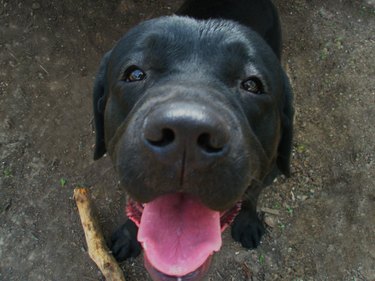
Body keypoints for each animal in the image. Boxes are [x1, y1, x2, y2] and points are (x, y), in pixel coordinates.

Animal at [93, 0, 294, 278]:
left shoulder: (268, 173)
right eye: (135, 74)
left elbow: (252, 195)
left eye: (252, 85)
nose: (186, 133)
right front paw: (128, 235)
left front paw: (248, 221)